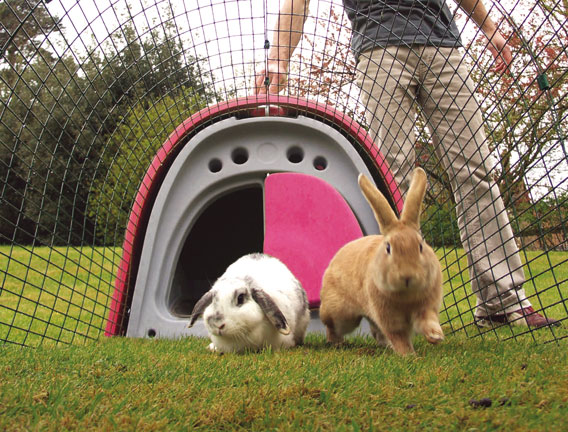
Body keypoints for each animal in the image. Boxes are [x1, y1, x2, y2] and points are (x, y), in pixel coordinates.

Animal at [320, 167, 444, 356]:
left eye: (421, 246)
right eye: (388, 248)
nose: (407, 276)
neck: (406, 296)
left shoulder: (426, 306)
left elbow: (427, 320)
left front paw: (435, 336)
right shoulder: (389, 318)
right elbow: (399, 337)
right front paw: (408, 355)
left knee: (375, 330)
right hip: (342, 315)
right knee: (333, 327)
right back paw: (336, 343)